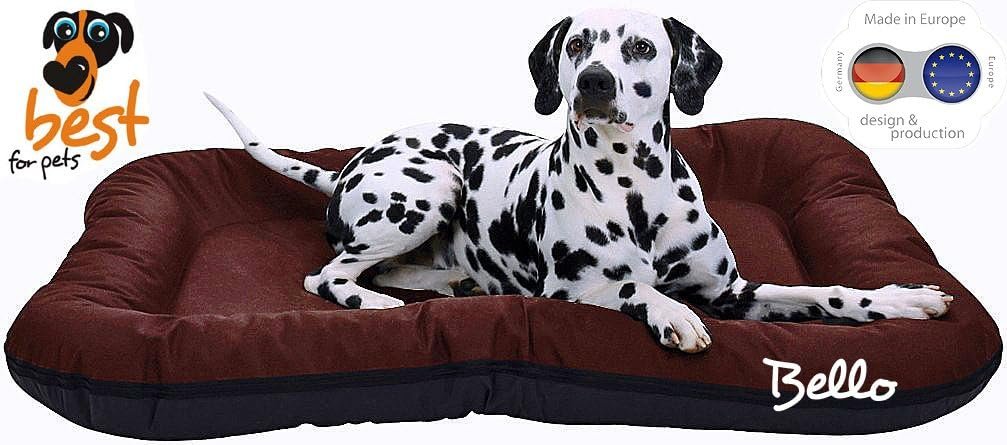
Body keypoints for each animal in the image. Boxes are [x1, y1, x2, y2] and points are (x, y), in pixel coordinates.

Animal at [207, 9, 952, 353]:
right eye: (576, 45)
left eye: (642, 48)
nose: (594, 81)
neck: (634, 188)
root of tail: (348, 163)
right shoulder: (572, 289)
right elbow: (632, 288)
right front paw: (672, 313)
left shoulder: (734, 293)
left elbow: (822, 293)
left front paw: (903, 299)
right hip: (432, 184)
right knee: (328, 276)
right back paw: (383, 306)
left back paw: (448, 284)